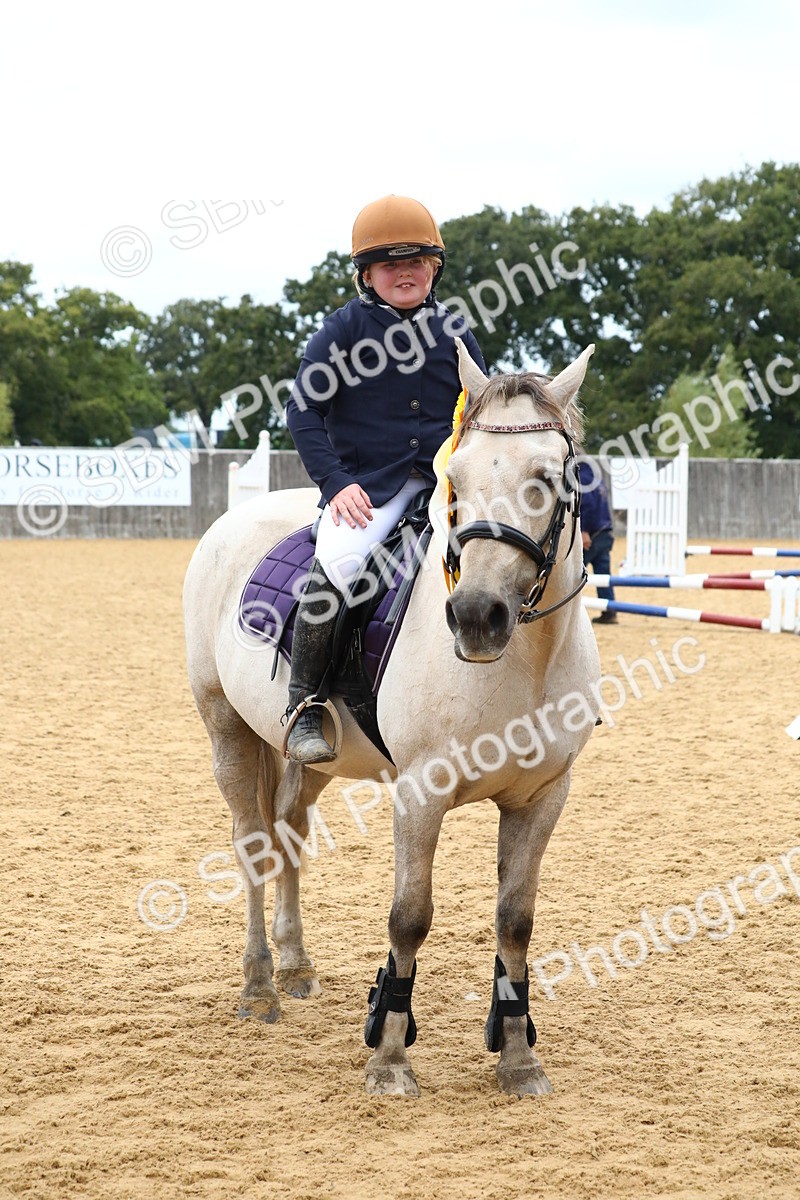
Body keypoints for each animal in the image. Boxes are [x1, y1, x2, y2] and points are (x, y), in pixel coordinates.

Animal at [183, 340, 601, 1097]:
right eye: (454, 479)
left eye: (550, 479)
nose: (476, 617)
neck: (522, 660)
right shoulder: (421, 792)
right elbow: (410, 918)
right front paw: (389, 1056)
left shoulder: (542, 796)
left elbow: (516, 921)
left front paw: (518, 1058)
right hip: (226, 729)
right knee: (253, 844)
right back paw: (259, 988)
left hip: (312, 755)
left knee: (289, 831)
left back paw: (295, 965)